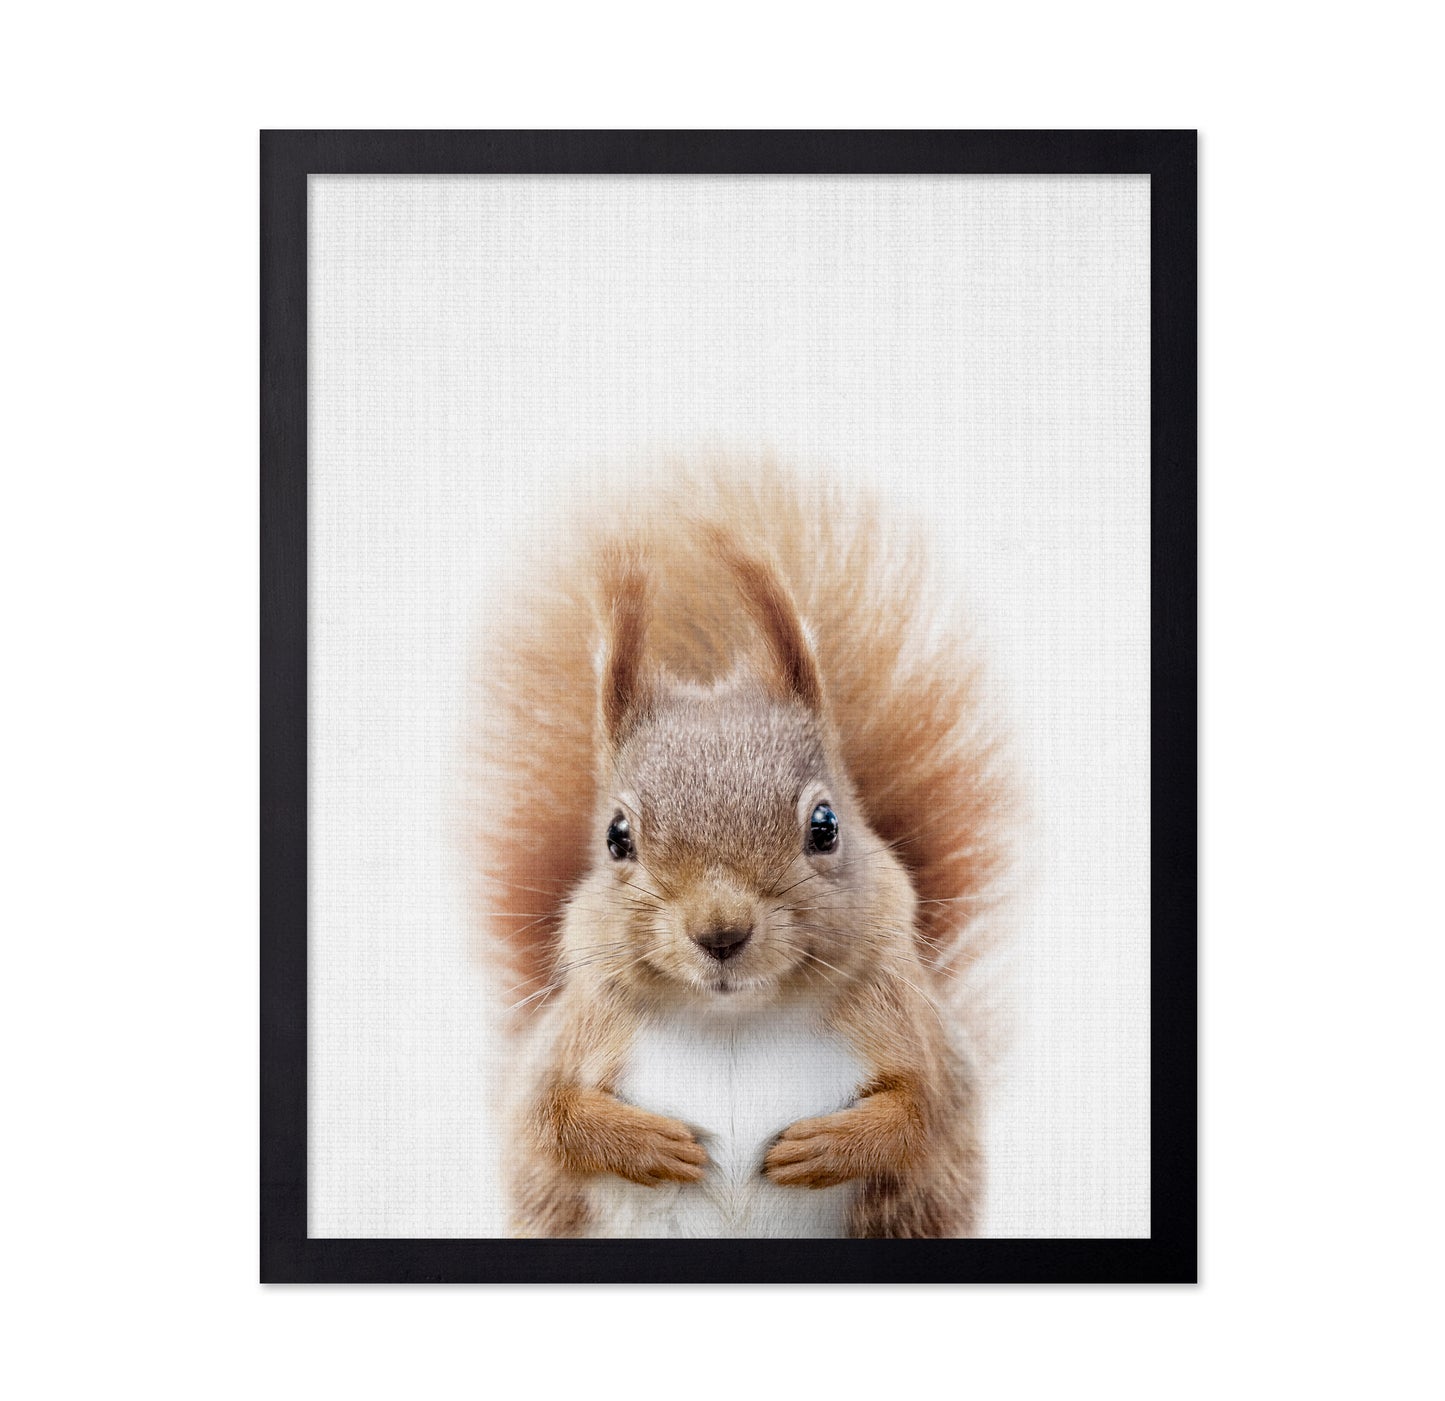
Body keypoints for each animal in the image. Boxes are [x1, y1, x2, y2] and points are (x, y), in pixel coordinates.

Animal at [469, 463, 1014, 1238]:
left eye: (825, 825)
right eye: (616, 836)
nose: (721, 932)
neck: (733, 1021)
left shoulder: (919, 1032)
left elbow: (927, 1109)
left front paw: (830, 1143)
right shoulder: (572, 1038)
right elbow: (548, 1116)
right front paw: (647, 1142)